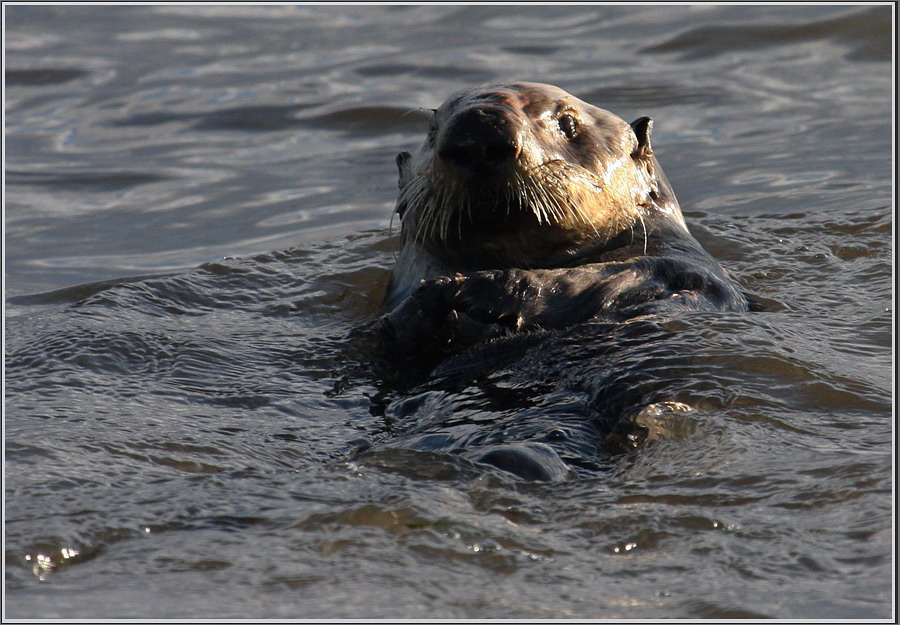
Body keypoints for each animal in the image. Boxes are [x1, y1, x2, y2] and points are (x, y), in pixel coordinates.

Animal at [376, 82, 748, 366]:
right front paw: (419, 309)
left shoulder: (684, 269)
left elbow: (608, 279)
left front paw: (459, 289)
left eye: (568, 123)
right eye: (432, 131)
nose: (479, 133)